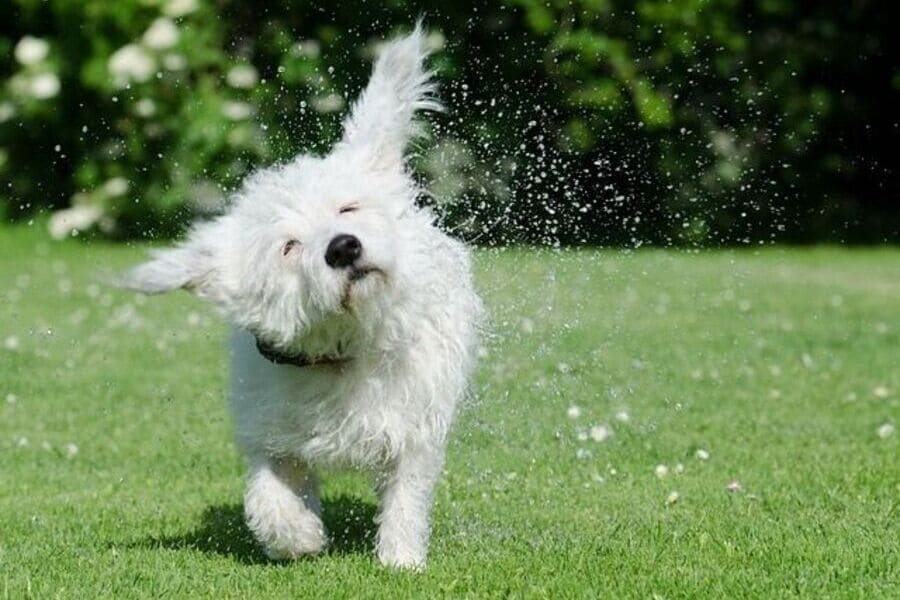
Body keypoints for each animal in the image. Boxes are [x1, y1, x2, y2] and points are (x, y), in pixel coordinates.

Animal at [125, 24, 486, 568]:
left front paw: (400, 560)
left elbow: (406, 493)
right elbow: (268, 495)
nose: (343, 247)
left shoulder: (411, 427)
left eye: (347, 208)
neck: (339, 350)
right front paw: (300, 538)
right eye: (289, 247)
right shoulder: (270, 432)